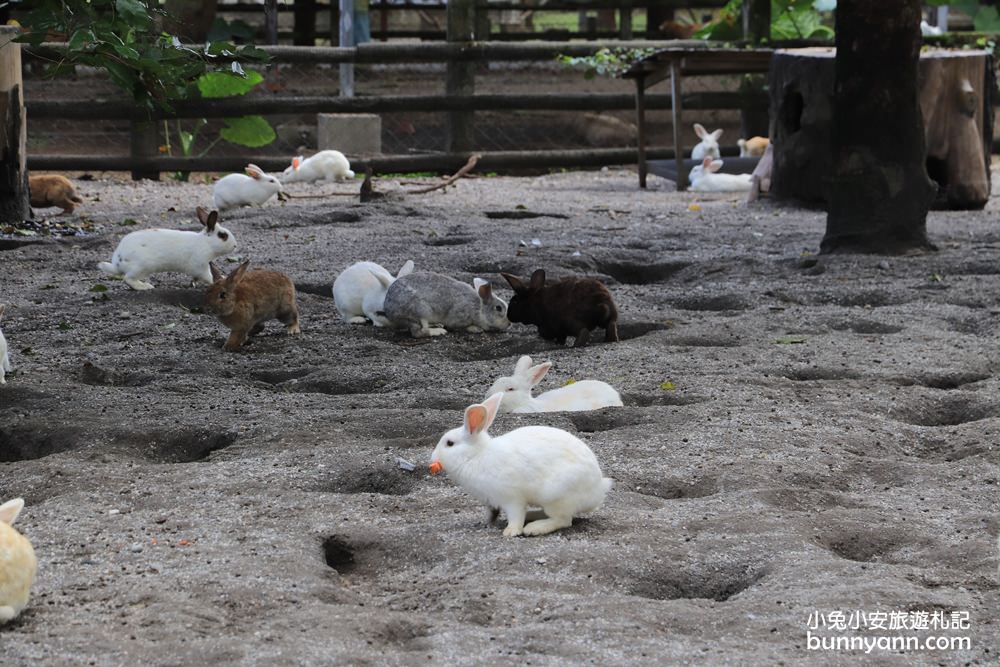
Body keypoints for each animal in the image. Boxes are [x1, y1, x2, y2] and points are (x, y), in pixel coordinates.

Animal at [98, 206, 237, 290]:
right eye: (223, 236)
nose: (235, 245)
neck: (205, 242)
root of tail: (117, 263)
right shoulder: (200, 266)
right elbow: (208, 276)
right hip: (142, 267)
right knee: (128, 279)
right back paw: (145, 286)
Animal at [380, 270, 512, 336]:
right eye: (499, 308)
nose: (509, 323)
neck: (479, 308)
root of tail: (389, 310)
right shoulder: (459, 317)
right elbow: (459, 326)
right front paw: (475, 329)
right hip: (421, 310)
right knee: (421, 332)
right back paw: (439, 331)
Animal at [428, 392, 612, 536]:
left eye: (449, 443)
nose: (432, 458)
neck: (476, 455)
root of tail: (597, 491)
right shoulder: (490, 501)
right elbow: (492, 513)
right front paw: (486, 523)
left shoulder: (512, 498)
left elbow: (515, 516)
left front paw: (511, 532)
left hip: (555, 496)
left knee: (563, 520)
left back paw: (534, 528)